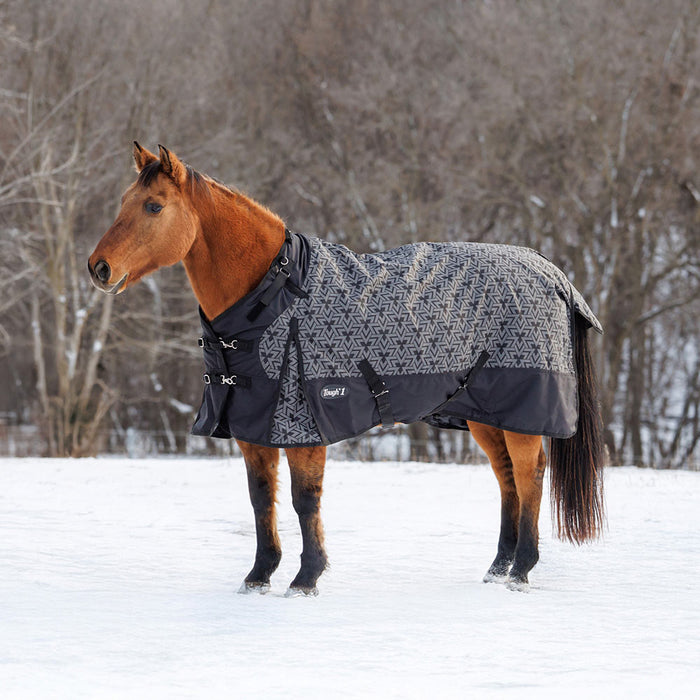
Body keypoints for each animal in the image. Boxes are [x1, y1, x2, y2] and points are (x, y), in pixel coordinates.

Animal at [88, 143, 604, 595]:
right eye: (123, 201)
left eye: (153, 206)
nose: (99, 267)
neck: (275, 297)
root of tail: (549, 271)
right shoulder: (252, 428)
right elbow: (261, 498)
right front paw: (259, 575)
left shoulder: (303, 424)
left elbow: (304, 500)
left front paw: (305, 578)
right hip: (486, 415)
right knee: (507, 479)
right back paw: (498, 568)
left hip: (522, 413)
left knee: (530, 474)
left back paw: (521, 571)